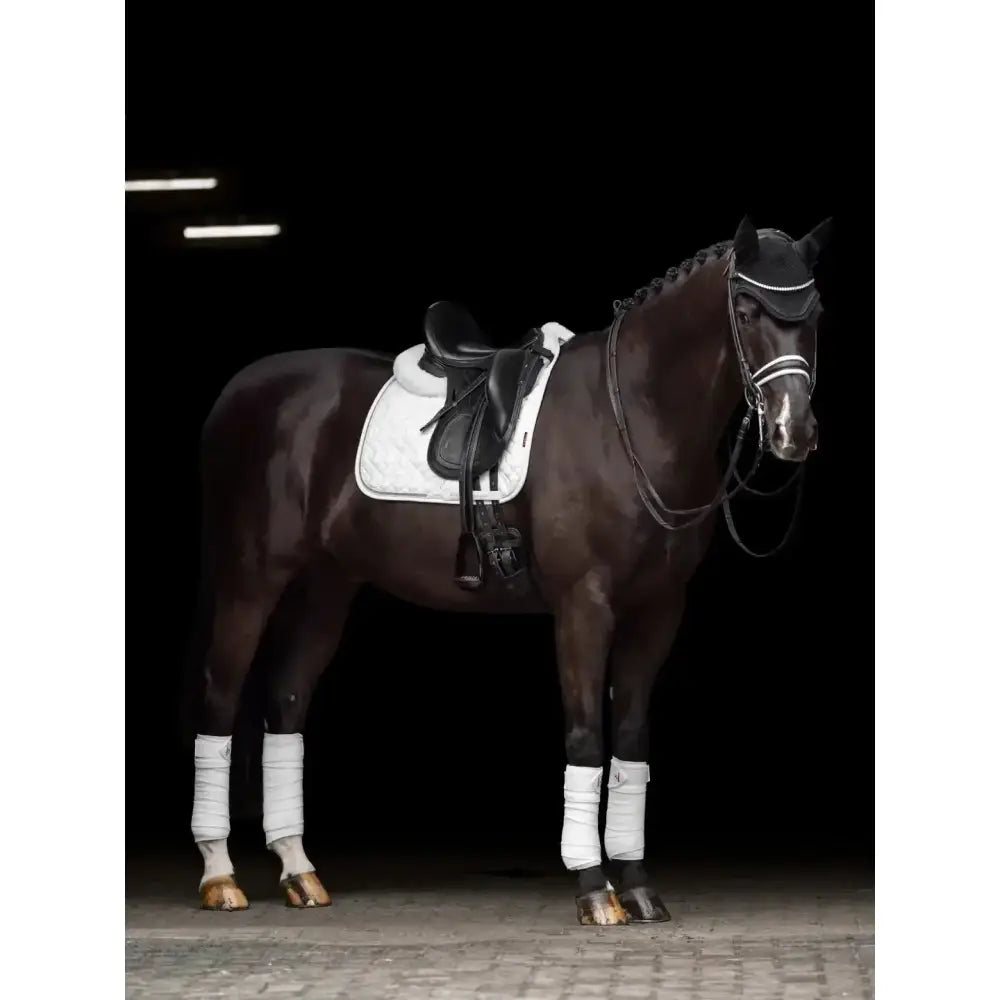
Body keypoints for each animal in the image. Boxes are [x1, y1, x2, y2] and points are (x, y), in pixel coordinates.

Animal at [186, 215, 832, 925]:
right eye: (746, 310)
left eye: (815, 313)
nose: (794, 431)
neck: (629, 418)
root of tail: (238, 393)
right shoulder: (584, 605)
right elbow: (586, 737)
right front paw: (594, 888)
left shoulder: (659, 608)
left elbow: (631, 742)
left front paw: (636, 884)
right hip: (251, 580)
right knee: (220, 700)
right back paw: (221, 876)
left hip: (327, 587)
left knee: (286, 704)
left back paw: (299, 870)